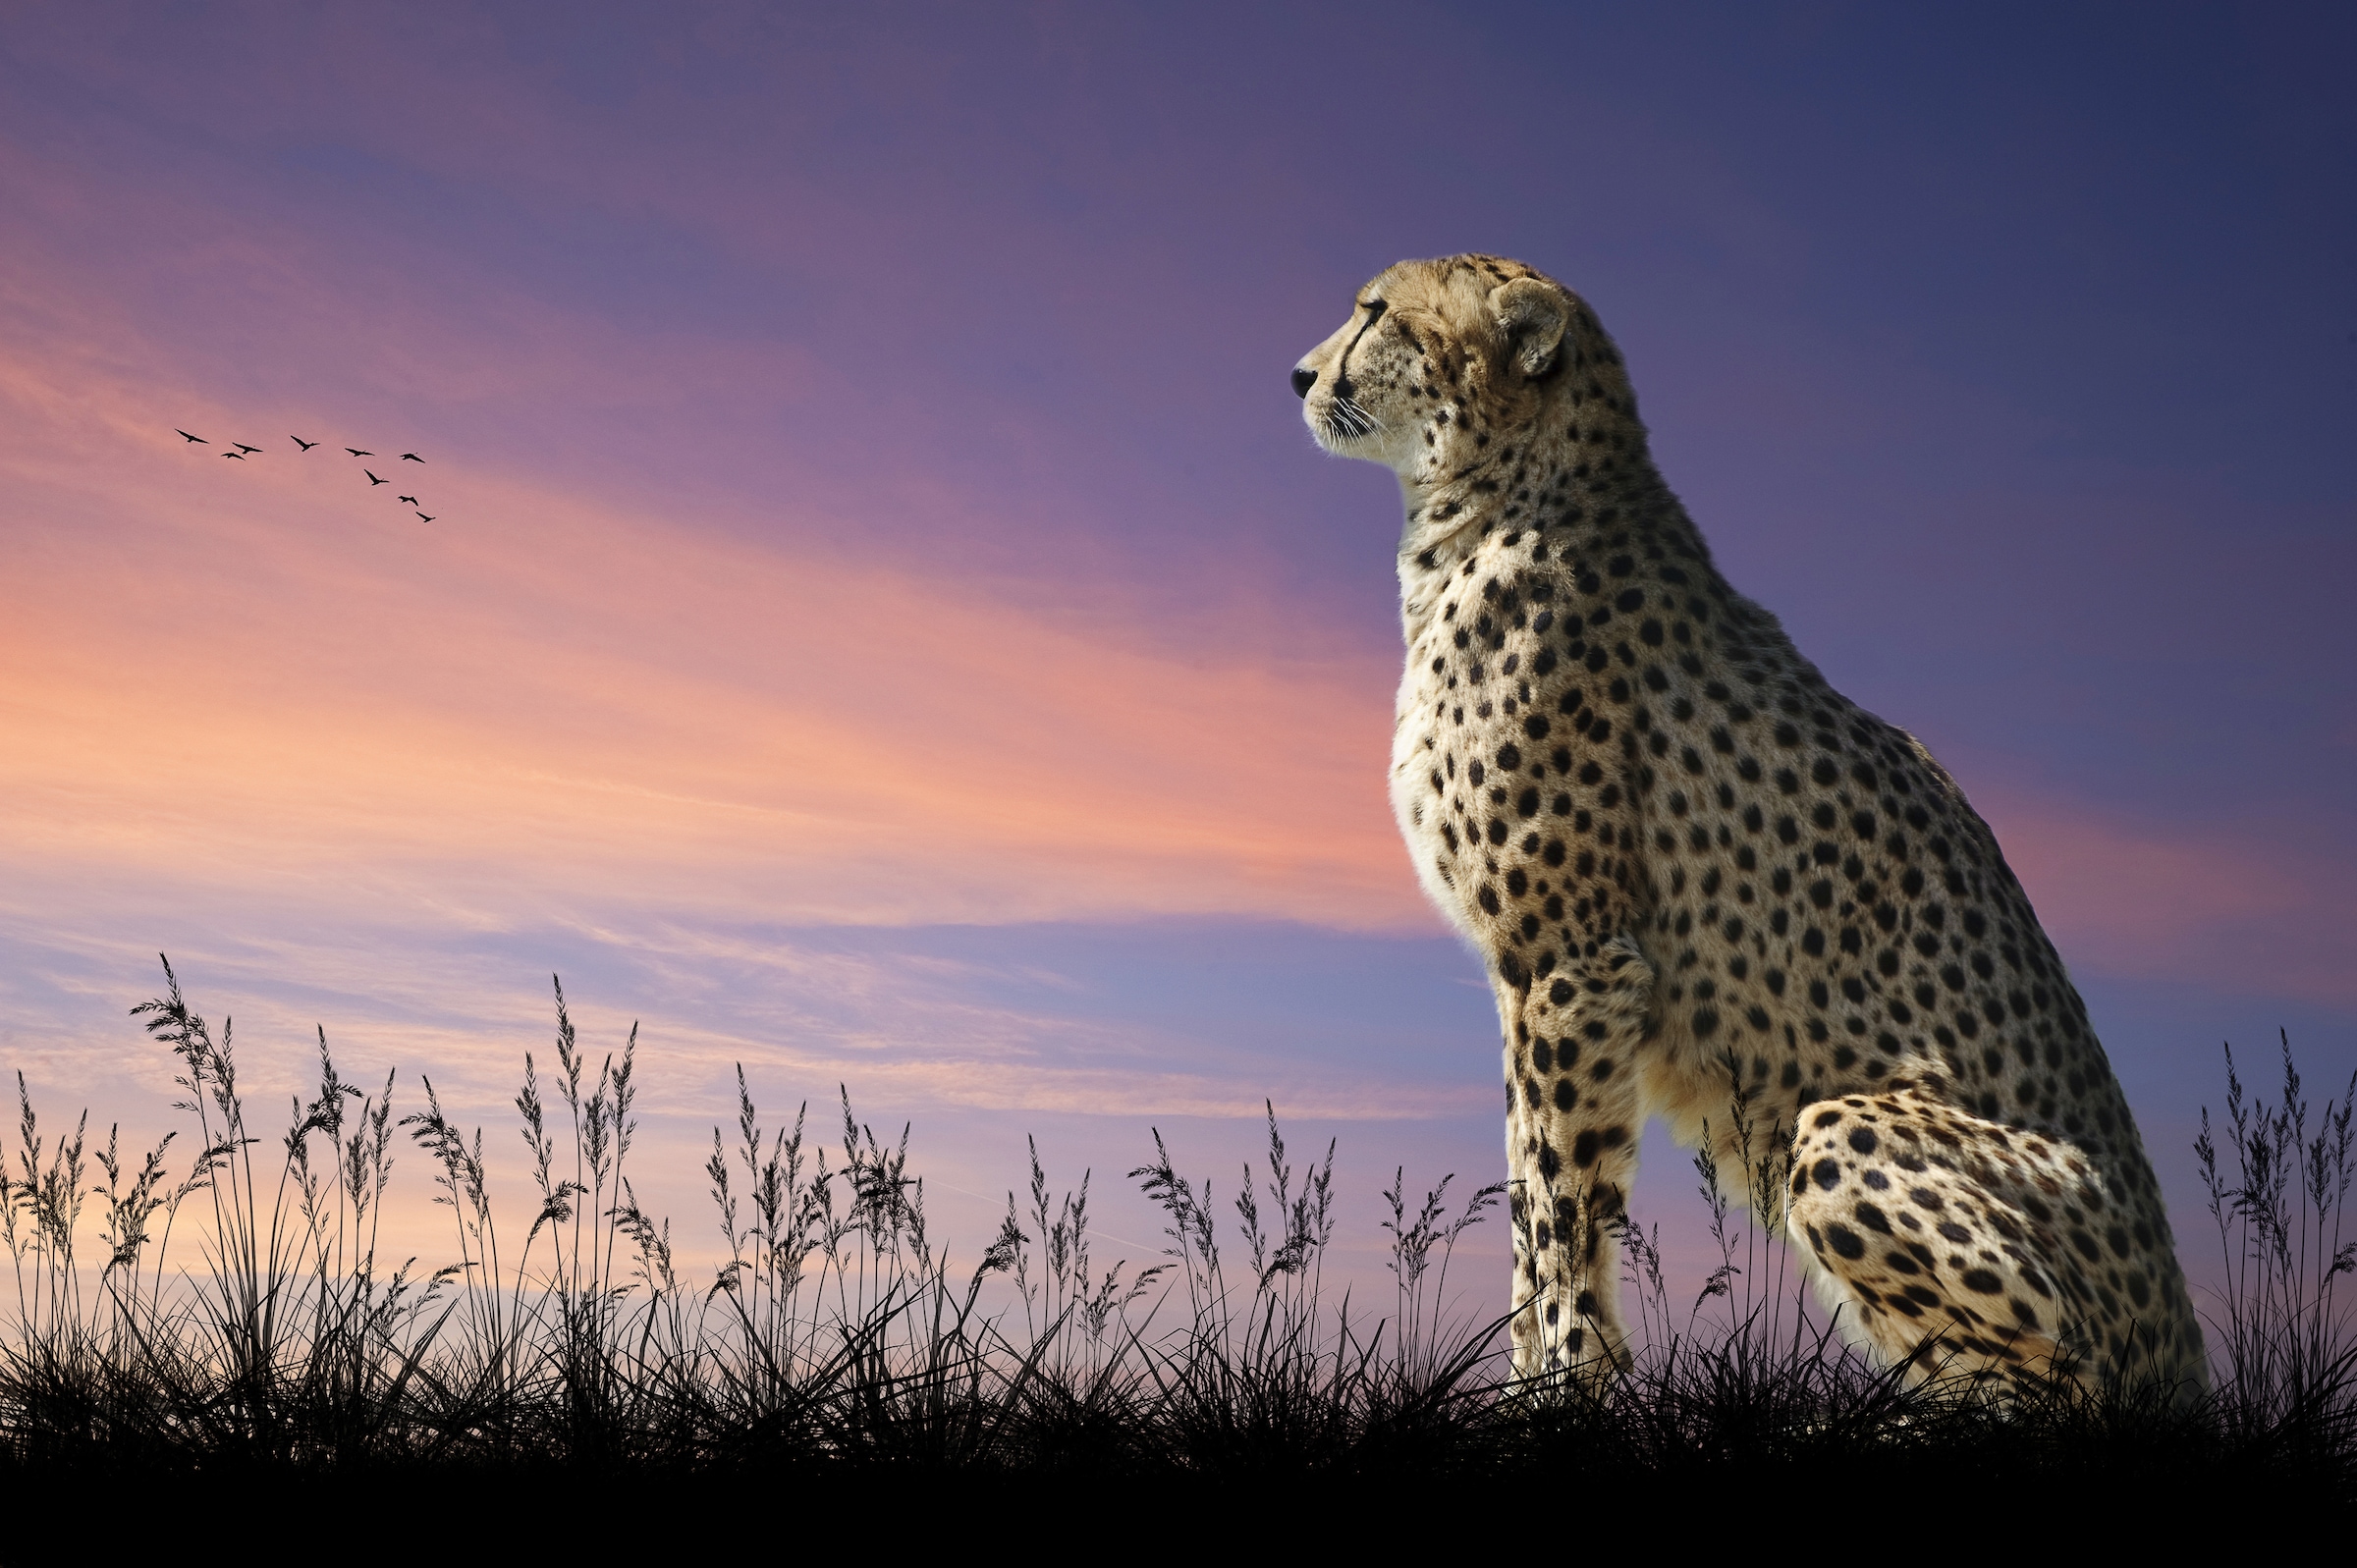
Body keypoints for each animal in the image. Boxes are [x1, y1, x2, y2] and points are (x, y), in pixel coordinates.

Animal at [1292, 253, 2207, 1397]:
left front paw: (1561, 1389)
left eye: (1376, 314)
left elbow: (1561, 1207)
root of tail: (2183, 1334)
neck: (1491, 500)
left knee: (2051, 1376)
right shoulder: (1529, 975)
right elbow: (1526, 1204)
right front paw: (1522, 1381)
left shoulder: (1571, 958)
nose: (1298, 375)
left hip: (1842, 1128)